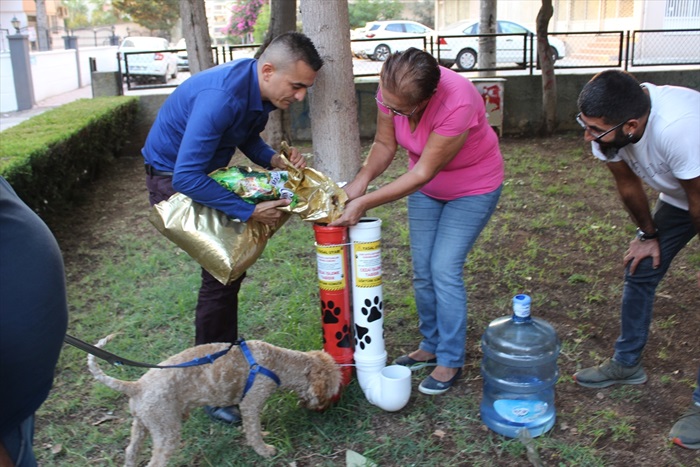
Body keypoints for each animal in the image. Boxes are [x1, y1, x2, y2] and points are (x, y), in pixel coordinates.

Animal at [89, 334, 340, 466]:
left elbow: (253, 429)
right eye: (330, 391)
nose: (325, 409)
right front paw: (265, 450)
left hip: (142, 425)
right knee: (155, 462)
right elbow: (253, 432)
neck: (277, 363)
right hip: (166, 430)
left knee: (130, 451)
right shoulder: (251, 403)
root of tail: (136, 386)